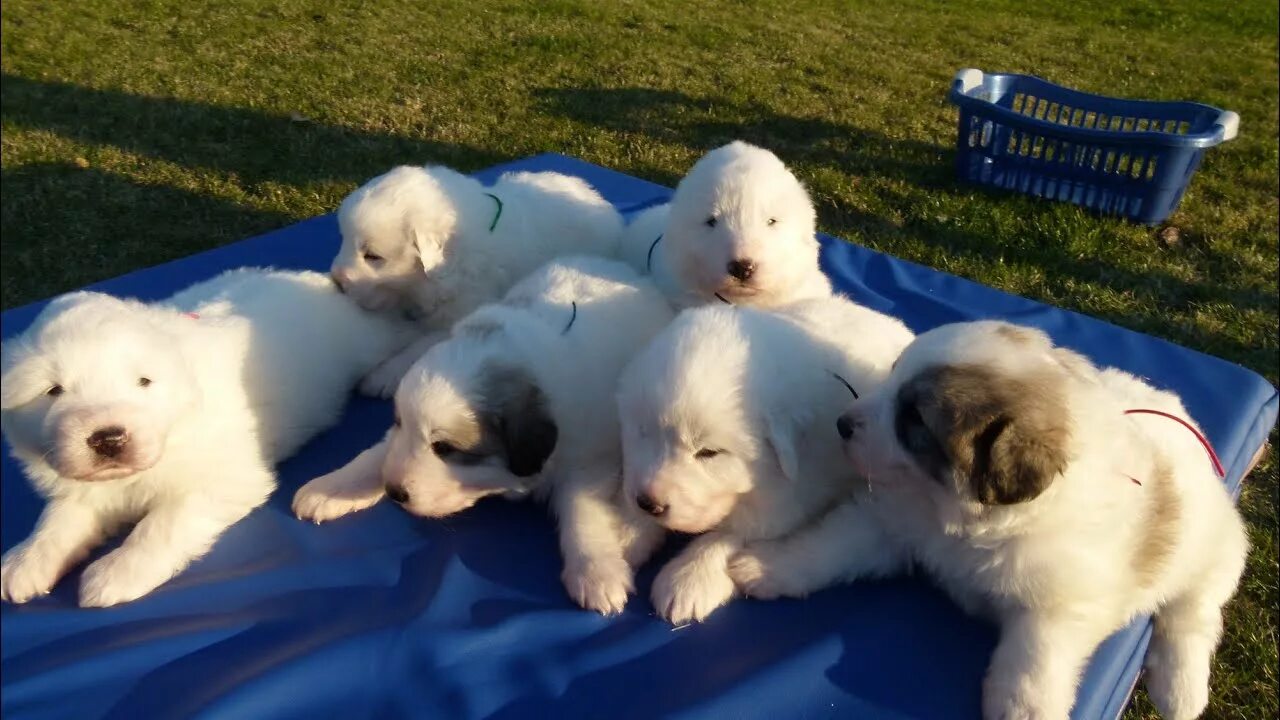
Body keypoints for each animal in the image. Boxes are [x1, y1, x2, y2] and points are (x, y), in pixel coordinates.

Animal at [0, 266, 409, 602]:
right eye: (53, 390)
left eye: (143, 381)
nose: (109, 438)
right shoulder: (82, 484)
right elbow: (58, 517)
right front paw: (26, 559)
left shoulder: (226, 476)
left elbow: (163, 523)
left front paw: (114, 573)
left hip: (365, 339)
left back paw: (389, 372)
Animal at [335, 165, 624, 394]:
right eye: (343, 239)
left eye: (373, 256)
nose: (337, 281)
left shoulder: (465, 309)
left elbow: (423, 343)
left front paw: (381, 375)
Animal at [611, 295, 906, 622]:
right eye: (643, 431)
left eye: (709, 452)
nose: (649, 504)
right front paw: (623, 533)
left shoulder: (791, 497)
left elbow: (734, 531)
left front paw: (688, 578)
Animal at [732, 320, 1249, 717]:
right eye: (893, 377)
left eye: (914, 419)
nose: (842, 424)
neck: (960, 520)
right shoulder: (891, 523)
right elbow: (828, 547)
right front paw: (766, 565)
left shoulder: (1060, 602)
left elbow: (1033, 661)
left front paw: (1023, 710)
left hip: (1217, 549)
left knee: (1193, 613)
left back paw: (1179, 691)